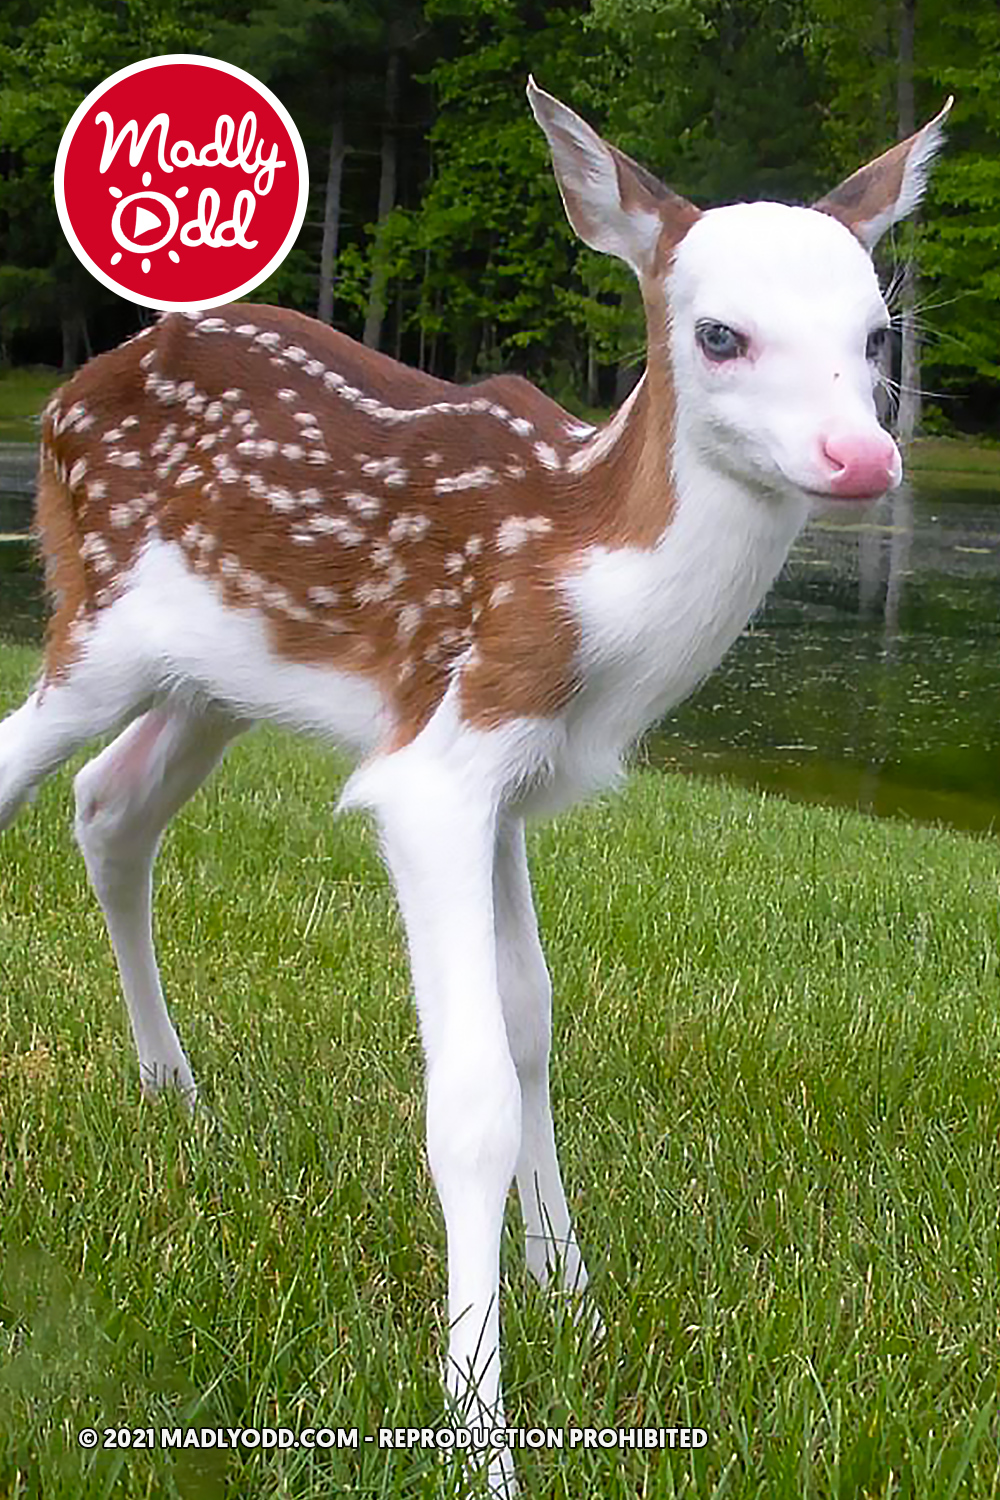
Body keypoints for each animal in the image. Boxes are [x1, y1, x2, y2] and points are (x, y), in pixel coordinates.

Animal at [0, 80, 948, 1495]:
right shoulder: (440, 769)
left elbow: (533, 1018)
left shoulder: (508, 769)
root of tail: (69, 393)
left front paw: (577, 1304)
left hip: (210, 680)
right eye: (719, 333)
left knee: (110, 810)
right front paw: (478, 1431)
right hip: (96, 619)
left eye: (876, 333)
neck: (581, 574)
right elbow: (472, 1098)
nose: (859, 457)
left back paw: (178, 1097)